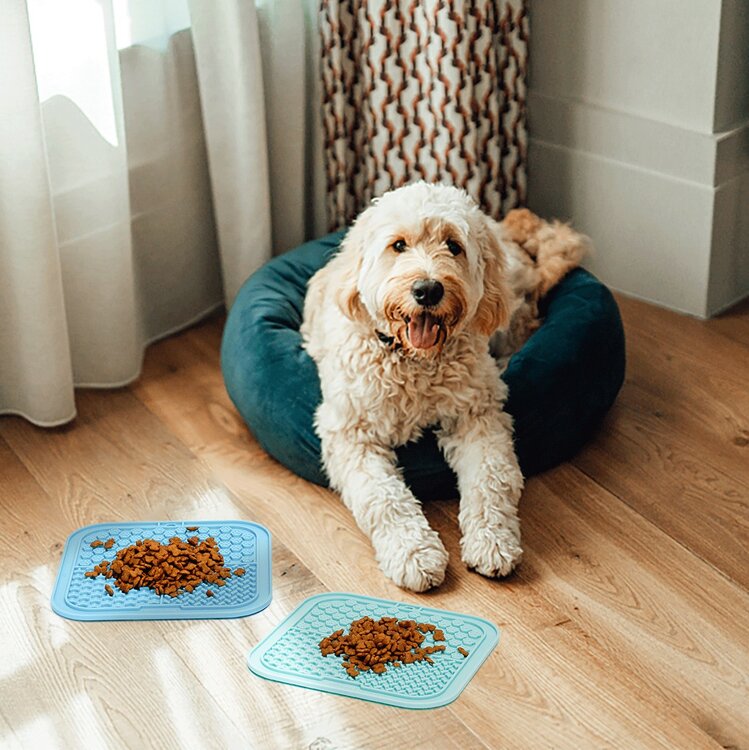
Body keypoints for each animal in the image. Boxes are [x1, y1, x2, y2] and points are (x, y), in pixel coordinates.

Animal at [300, 182, 588, 592]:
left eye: (453, 245)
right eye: (399, 245)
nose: (427, 289)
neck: (415, 361)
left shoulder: (479, 416)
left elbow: (491, 479)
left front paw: (493, 541)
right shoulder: (352, 435)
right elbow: (384, 498)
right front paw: (414, 553)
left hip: (510, 311)